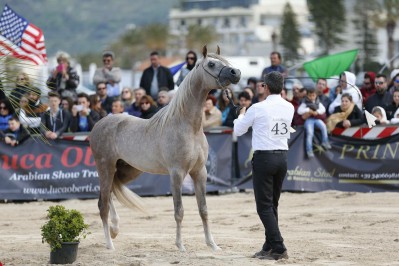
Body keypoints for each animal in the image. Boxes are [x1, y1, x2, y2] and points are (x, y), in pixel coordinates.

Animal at [90, 45, 241, 251]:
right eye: (211, 64)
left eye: (225, 61)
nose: (236, 73)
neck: (188, 127)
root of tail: (98, 125)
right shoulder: (177, 173)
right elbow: (179, 211)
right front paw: (180, 246)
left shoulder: (199, 172)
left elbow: (203, 209)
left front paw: (213, 245)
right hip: (105, 168)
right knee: (102, 204)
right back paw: (110, 244)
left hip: (125, 170)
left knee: (111, 194)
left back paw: (115, 229)